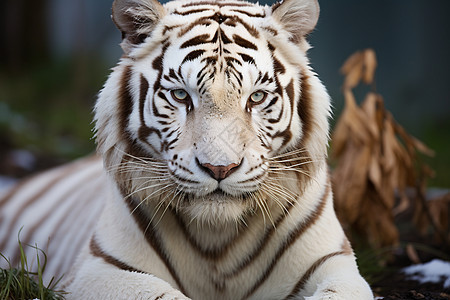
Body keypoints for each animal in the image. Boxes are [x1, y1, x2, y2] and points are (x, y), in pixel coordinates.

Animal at [0, 0, 372, 298]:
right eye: (181, 95)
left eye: (256, 97)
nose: (220, 168)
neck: (217, 239)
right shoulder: (101, 268)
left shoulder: (331, 263)